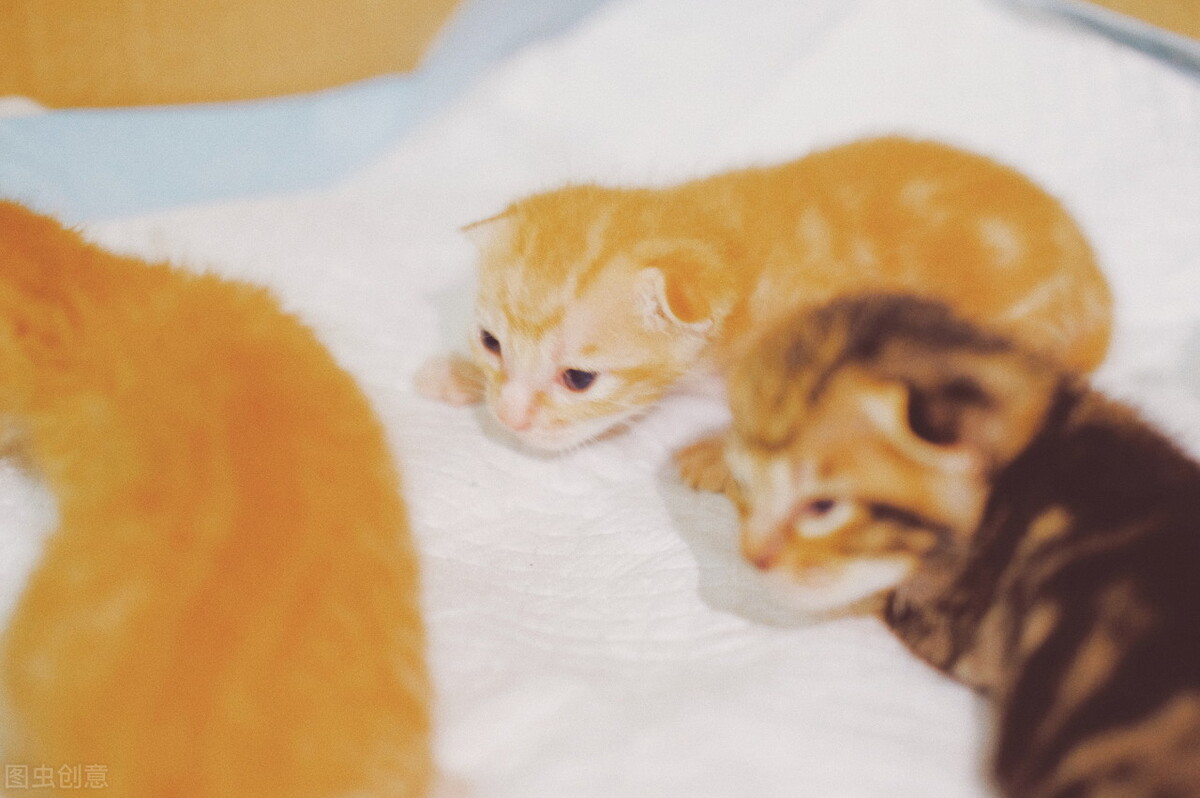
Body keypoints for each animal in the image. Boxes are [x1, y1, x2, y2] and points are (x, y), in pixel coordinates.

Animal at [417, 135, 1108, 468]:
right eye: (490, 343)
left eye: (578, 379)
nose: (509, 418)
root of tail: (1093, 277)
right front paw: (456, 374)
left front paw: (717, 456)